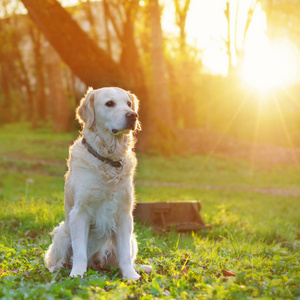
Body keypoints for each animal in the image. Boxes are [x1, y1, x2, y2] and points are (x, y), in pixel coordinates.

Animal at [44, 87, 150, 282]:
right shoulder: (80, 212)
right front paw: (77, 274)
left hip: (132, 238)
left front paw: (131, 275)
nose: (133, 115)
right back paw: (57, 269)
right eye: (109, 103)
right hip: (62, 234)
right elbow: (79, 253)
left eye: (128, 104)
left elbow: (124, 255)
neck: (109, 160)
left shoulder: (124, 215)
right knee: (56, 259)